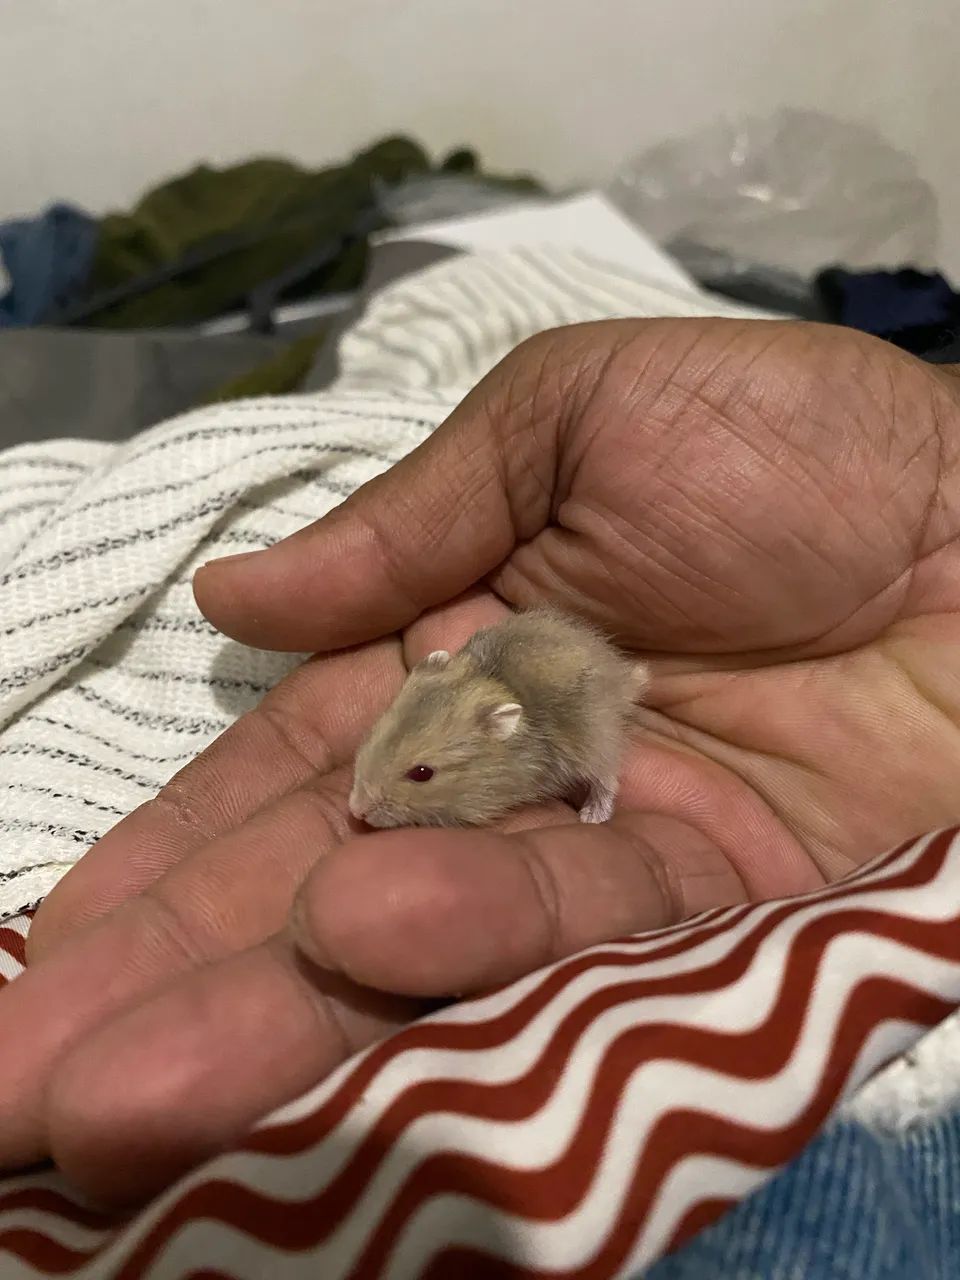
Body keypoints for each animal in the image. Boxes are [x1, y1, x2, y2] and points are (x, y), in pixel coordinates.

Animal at [349, 607, 648, 829]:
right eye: (374, 733)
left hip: (596, 742)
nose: (355, 811)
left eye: (422, 774)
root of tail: (624, 679)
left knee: (607, 779)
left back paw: (591, 817)